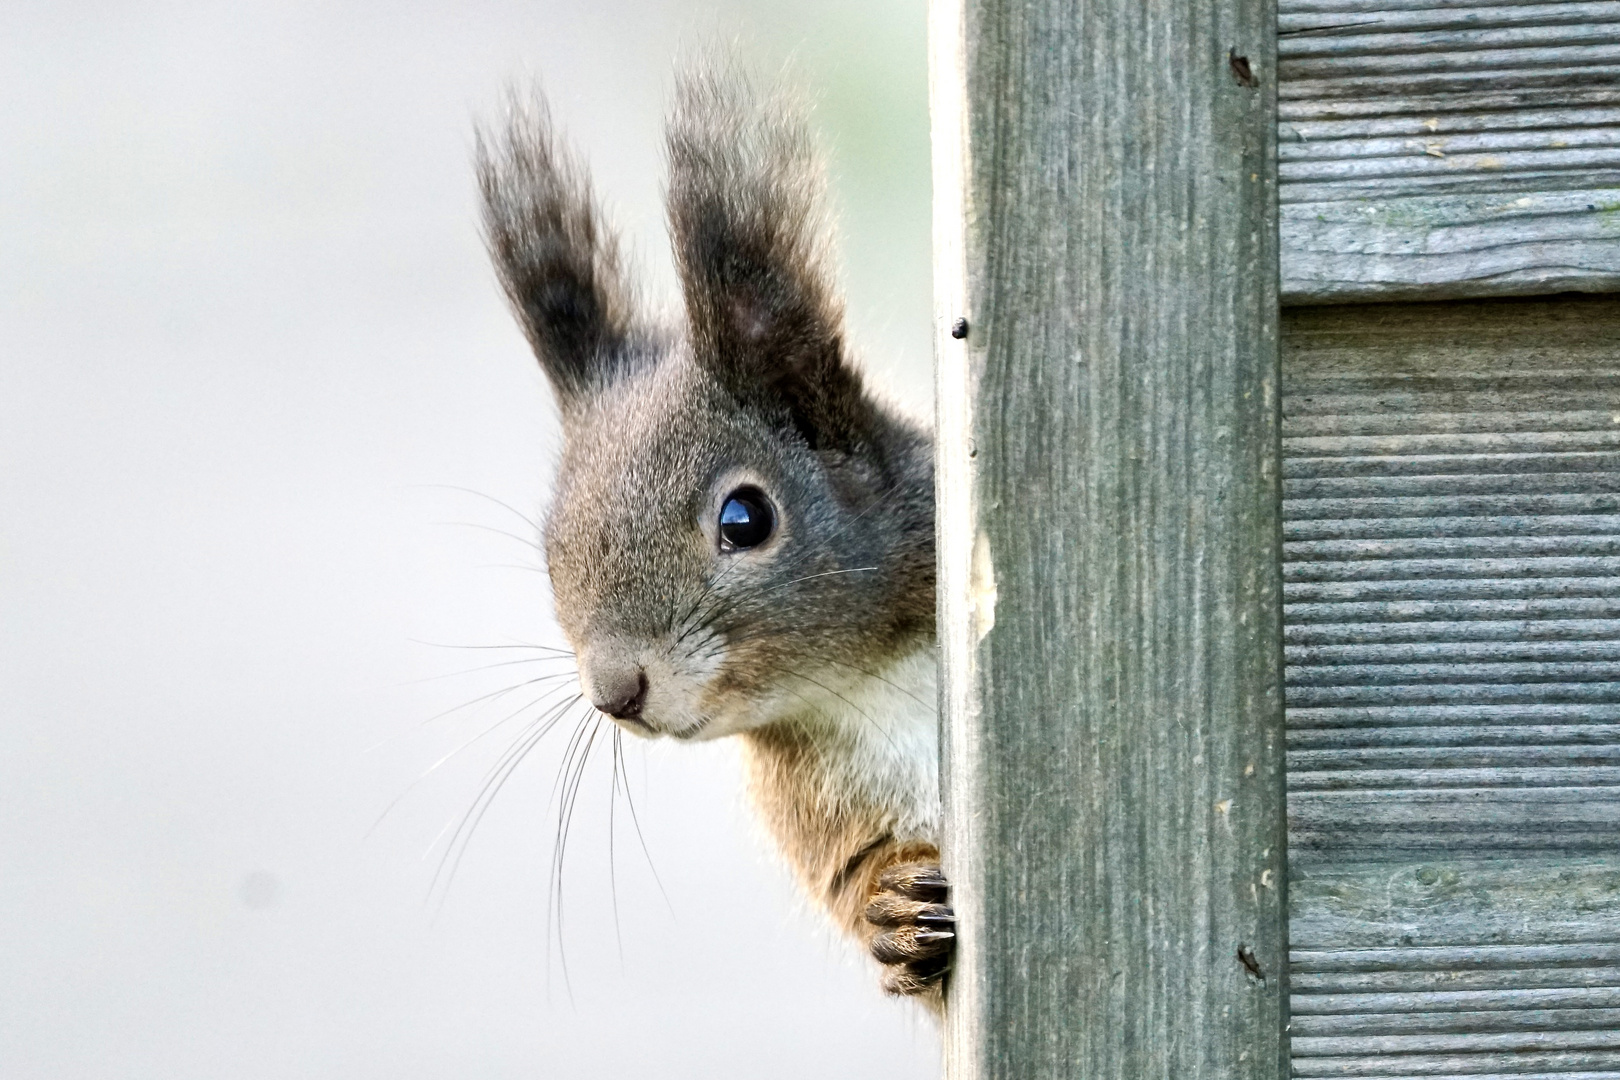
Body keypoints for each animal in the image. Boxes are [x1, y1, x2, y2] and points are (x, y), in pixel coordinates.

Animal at [473, 67, 952, 1010]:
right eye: (550, 552)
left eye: (745, 519)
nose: (615, 693)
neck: (858, 682)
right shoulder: (811, 798)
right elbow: (851, 870)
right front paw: (888, 911)